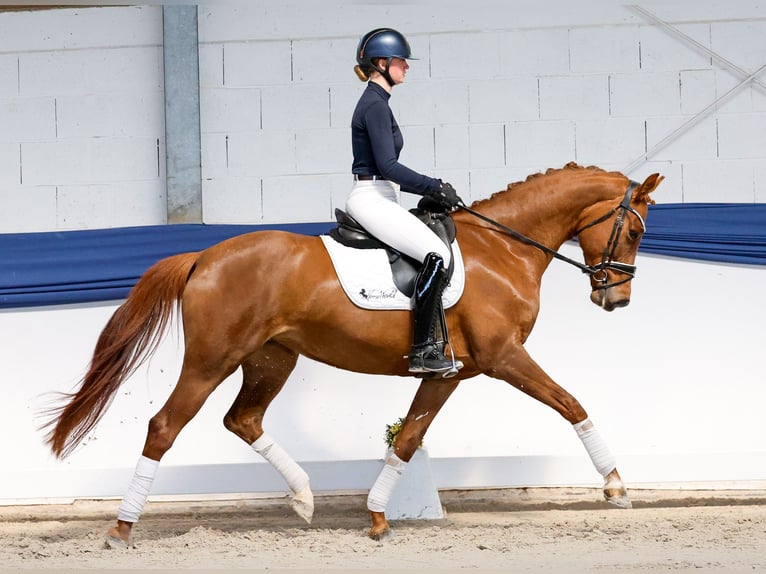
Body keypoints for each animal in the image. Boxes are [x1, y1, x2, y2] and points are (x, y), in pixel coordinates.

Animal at [42, 162, 663, 546]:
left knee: (243, 419)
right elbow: (572, 403)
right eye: (634, 231)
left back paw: (303, 499)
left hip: (272, 358)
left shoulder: (450, 372)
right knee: (166, 425)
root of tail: (202, 256)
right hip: (211, 360)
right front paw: (616, 487)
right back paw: (122, 530)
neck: (503, 248)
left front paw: (380, 518)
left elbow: (408, 439)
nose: (616, 299)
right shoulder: (503, 357)